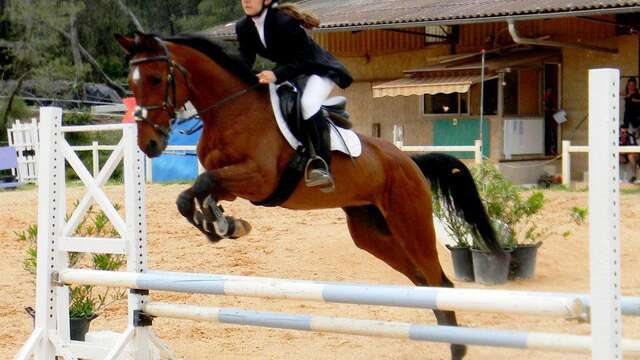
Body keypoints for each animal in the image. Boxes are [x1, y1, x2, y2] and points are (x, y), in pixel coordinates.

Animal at [116, 31, 500, 360]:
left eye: (154, 79)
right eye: (131, 83)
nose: (149, 144)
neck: (230, 110)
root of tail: (409, 161)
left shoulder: (259, 179)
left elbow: (202, 182)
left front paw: (223, 224)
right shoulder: (234, 184)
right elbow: (190, 194)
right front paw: (222, 225)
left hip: (410, 221)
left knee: (439, 281)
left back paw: (457, 348)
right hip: (372, 233)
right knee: (423, 282)